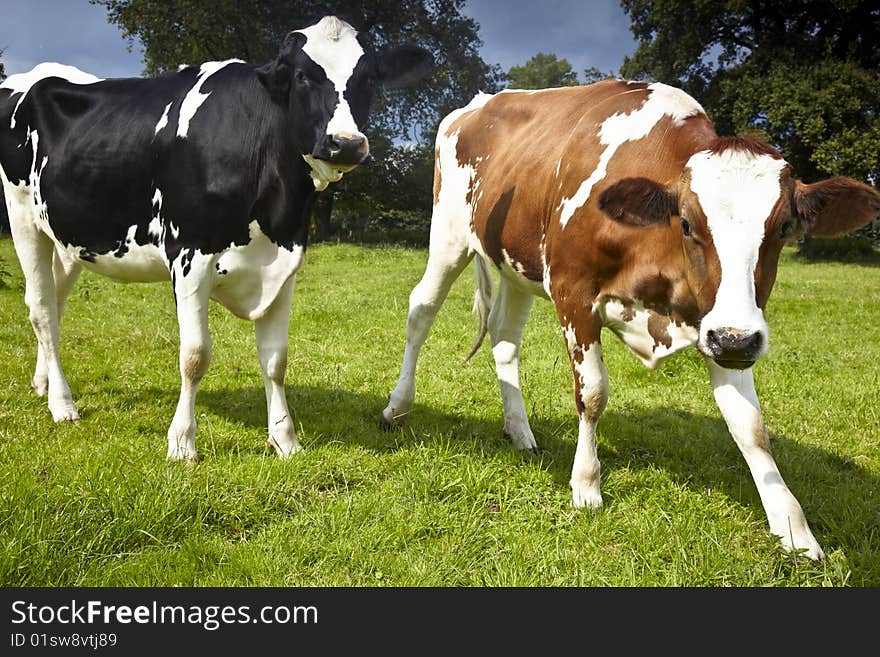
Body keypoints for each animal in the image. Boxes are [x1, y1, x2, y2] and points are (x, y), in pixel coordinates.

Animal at [0, 14, 434, 456]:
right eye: (302, 76)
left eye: (369, 78)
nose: (345, 144)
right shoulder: (189, 257)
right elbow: (195, 356)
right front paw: (181, 442)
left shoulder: (286, 263)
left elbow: (276, 359)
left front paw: (285, 438)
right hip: (23, 219)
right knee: (41, 308)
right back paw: (62, 403)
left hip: (68, 235)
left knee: (56, 303)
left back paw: (43, 383)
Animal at [380, 78, 880, 560]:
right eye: (687, 223)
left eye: (783, 228)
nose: (737, 342)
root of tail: (479, 101)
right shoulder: (574, 293)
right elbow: (593, 393)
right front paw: (586, 485)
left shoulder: (720, 321)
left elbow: (751, 426)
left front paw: (793, 527)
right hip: (448, 235)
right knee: (421, 311)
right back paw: (397, 406)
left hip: (516, 263)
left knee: (504, 338)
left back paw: (519, 431)